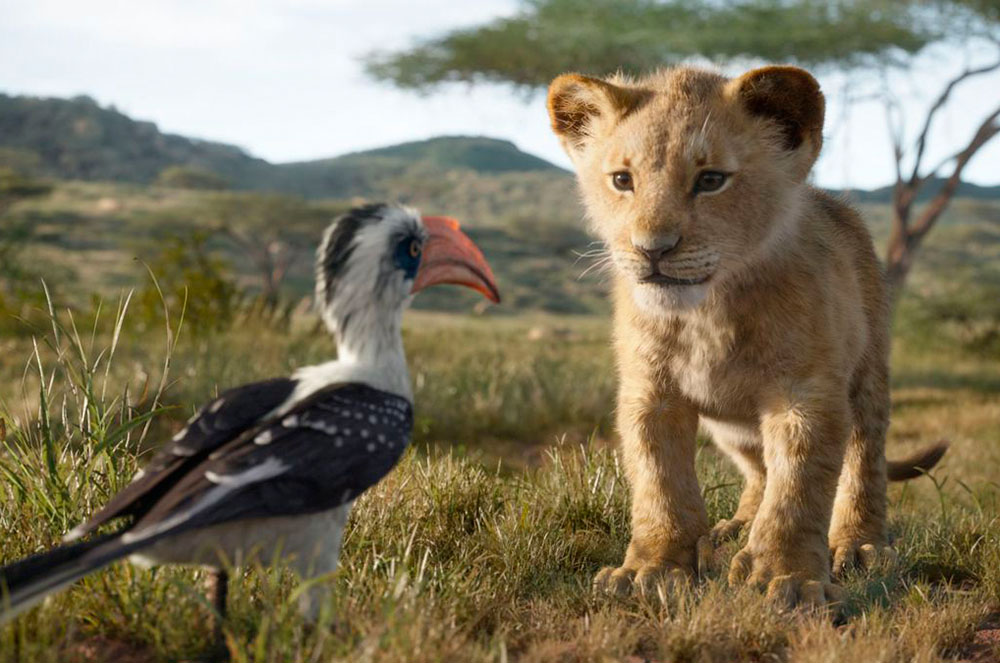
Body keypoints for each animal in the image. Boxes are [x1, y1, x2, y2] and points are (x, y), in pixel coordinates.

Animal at [546, 65, 947, 607]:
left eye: (711, 180)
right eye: (622, 180)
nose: (652, 249)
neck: (707, 313)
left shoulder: (805, 393)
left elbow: (798, 488)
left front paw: (788, 577)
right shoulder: (650, 393)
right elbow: (659, 482)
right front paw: (651, 569)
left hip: (868, 375)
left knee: (864, 459)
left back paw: (859, 545)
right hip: (732, 427)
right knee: (759, 470)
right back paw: (734, 528)